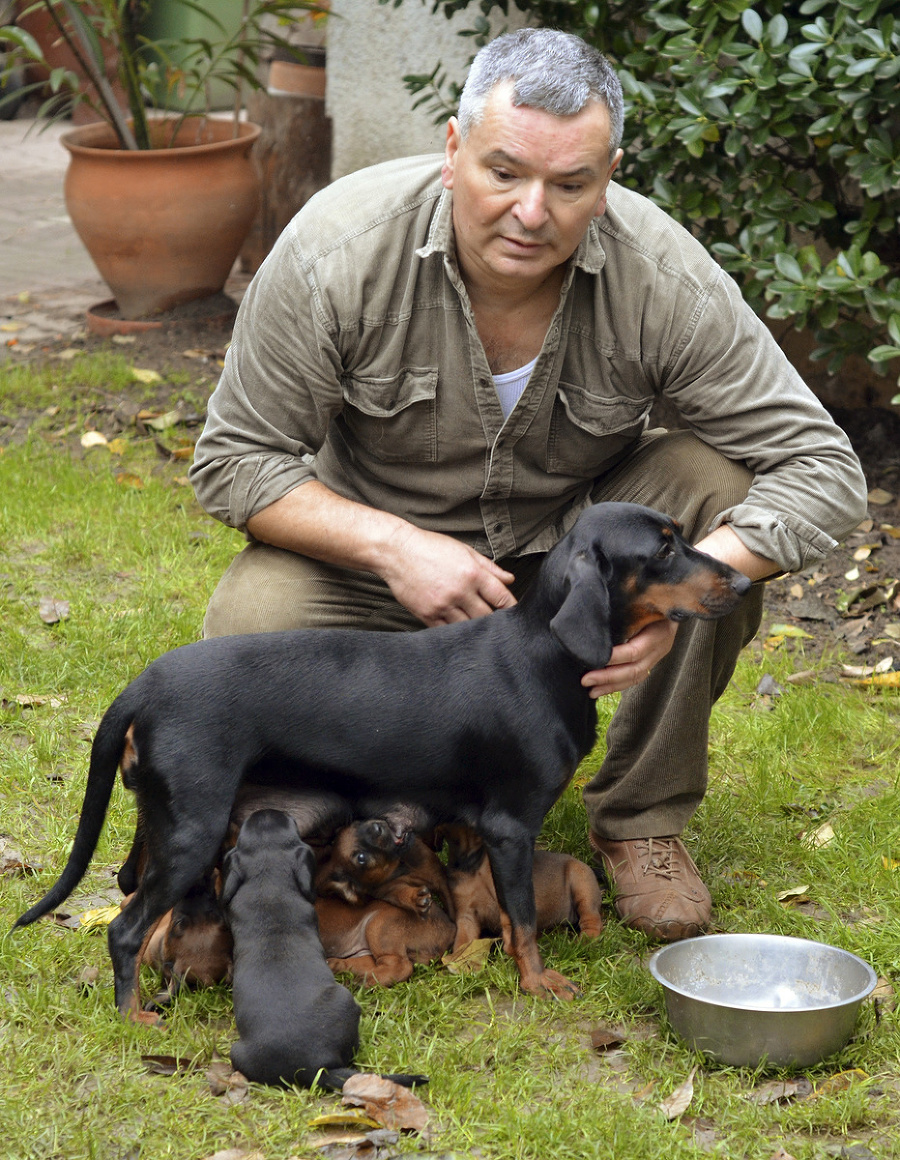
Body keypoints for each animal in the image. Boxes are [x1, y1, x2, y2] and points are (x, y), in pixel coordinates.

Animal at [14, 503, 746, 1011]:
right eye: (664, 546)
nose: (741, 580)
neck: (545, 653)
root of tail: (143, 685)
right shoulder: (511, 826)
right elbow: (524, 921)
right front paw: (539, 984)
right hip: (193, 830)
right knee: (125, 929)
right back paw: (134, 1015)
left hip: (167, 824)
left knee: (132, 895)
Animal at [221, 812, 424, 1090]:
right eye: (293, 829)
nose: (265, 811)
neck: (268, 884)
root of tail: (314, 1070)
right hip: (355, 983)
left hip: (237, 1053)